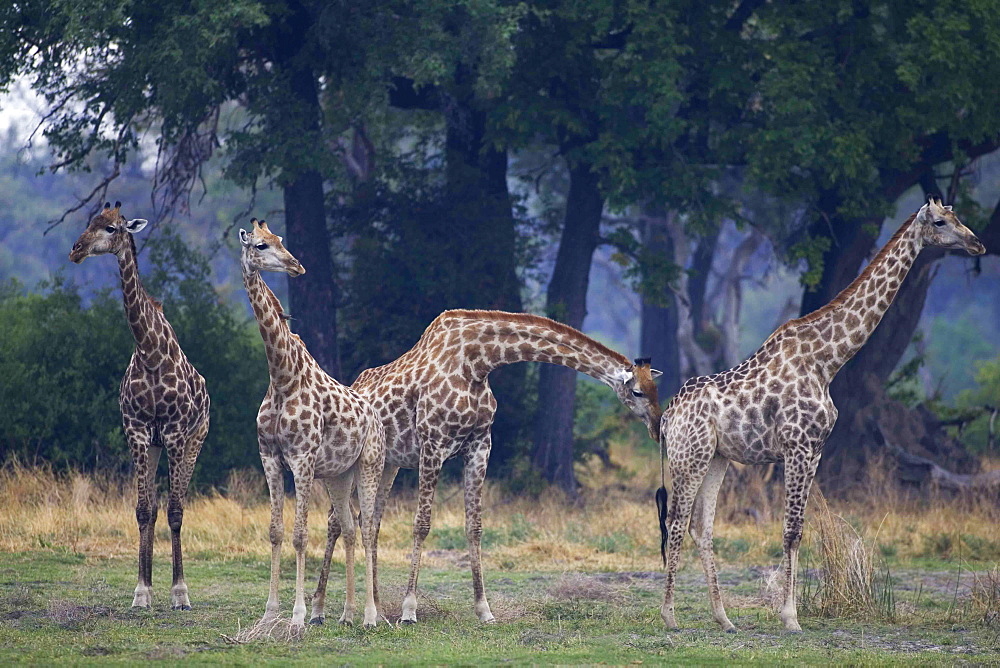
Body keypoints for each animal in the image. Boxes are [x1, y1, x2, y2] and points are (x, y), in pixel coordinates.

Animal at [69, 200, 211, 612]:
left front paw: (180, 593)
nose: (76, 250)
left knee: (179, 503)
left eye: (112, 228)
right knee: (153, 508)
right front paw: (142, 591)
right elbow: (143, 510)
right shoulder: (135, 430)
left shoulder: (177, 432)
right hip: (153, 446)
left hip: (194, 440)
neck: (149, 352)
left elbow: (176, 510)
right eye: (90, 222)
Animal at [238, 219, 386, 632]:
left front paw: (299, 615)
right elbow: (275, 532)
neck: (282, 376)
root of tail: (377, 419)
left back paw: (370, 616)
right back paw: (348, 613)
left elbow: (301, 535)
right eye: (260, 245)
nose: (296, 266)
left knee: (368, 529)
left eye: (280, 240)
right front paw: (269, 612)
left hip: (370, 466)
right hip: (339, 475)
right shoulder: (269, 456)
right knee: (349, 528)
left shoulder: (302, 459)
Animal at [312, 310, 664, 624]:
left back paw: (376, 611)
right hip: (352, 463)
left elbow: (475, 527)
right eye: (637, 391)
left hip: (387, 465)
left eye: (656, 389)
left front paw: (484, 610)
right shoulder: (433, 444)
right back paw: (319, 612)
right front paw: (409, 611)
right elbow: (422, 524)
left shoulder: (480, 447)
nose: (657, 428)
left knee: (369, 521)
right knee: (336, 521)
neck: (477, 363)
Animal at [656, 196, 984, 636]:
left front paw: (787, 613)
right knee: (676, 520)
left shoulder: (815, 450)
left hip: (716, 458)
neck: (827, 361)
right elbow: (791, 531)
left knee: (700, 526)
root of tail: (667, 416)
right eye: (940, 222)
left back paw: (724, 618)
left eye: (957, 216)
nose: (977, 243)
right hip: (688, 456)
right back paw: (669, 615)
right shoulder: (798, 446)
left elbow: (799, 529)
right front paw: (791, 617)